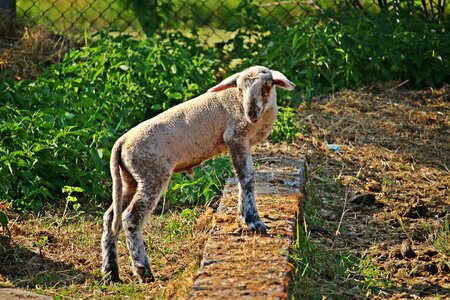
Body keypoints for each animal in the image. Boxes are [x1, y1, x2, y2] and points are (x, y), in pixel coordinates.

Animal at [100, 65, 296, 284]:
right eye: (239, 88)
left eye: (267, 86)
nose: (251, 113)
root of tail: (121, 143)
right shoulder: (235, 136)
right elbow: (246, 176)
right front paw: (254, 222)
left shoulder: (240, 141)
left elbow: (242, 177)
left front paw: (244, 216)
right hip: (151, 173)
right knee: (130, 218)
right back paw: (143, 271)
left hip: (129, 179)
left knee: (111, 217)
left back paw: (111, 272)